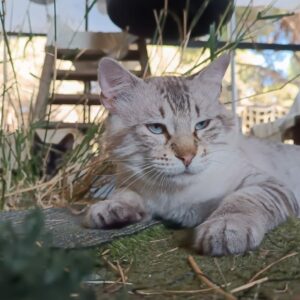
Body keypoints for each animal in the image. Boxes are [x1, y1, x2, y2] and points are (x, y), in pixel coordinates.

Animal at [82, 54, 300, 255]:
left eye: (202, 124)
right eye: (156, 128)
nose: (187, 157)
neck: (176, 197)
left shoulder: (267, 184)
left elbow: (242, 199)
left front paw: (226, 226)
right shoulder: (131, 182)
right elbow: (124, 194)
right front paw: (112, 207)